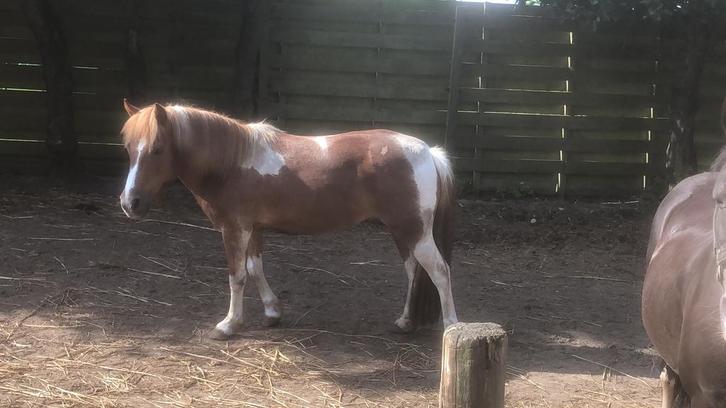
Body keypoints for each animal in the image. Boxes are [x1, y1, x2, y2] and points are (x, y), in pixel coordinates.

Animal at [118, 100, 458, 339]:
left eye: (157, 149)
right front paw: (272, 312)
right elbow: (254, 269)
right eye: (128, 148)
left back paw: (451, 327)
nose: (129, 203)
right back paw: (404, 322)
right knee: (414, 271)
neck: (232, 162)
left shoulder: (235, 229)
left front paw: (228, 325)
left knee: (440, 271)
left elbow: (236, 276)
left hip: (414, 231)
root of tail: (428, 152)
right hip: (403, 232)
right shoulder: (253, 229)